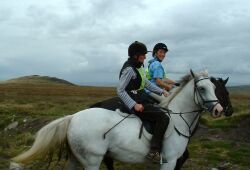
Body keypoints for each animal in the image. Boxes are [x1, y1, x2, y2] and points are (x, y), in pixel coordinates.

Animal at [10, 69, 224, 169]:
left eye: (215, 88)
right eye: (202, 88)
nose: (219, 110)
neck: (178, 118)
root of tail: (73, 117)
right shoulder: (169, 161)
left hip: (75, 158)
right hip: (92, 161)